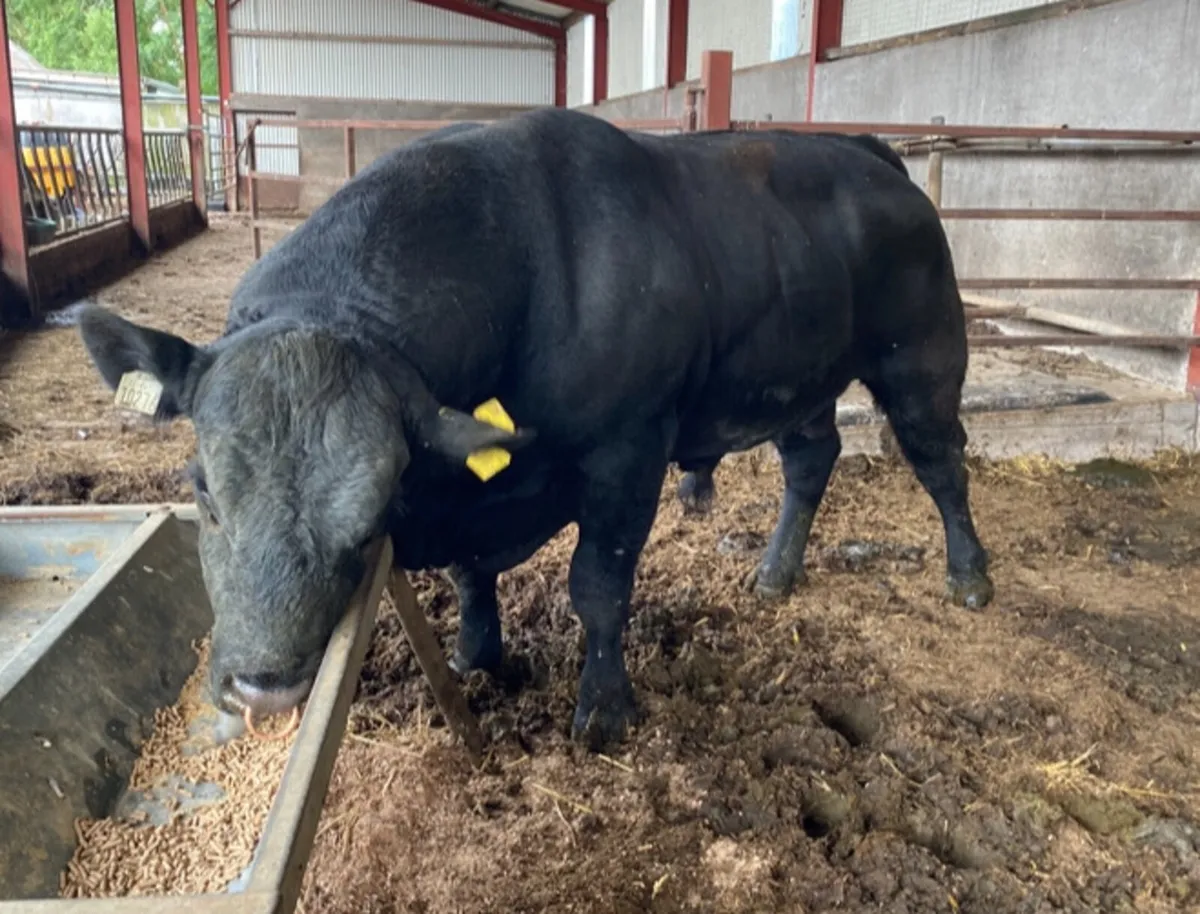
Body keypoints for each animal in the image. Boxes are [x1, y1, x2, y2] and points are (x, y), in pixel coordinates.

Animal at [78, 107, 993, 751]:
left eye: (371, 516)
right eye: (203, 492)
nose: (261, 689)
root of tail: (864, 150)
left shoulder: (629, 453)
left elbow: (598, 586)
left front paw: (604, 711)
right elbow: (468, 577)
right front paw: (474, 655)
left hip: (922, 358)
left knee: (941, 462)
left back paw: (970, 575)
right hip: (798, 378)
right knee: (813, 458)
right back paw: (774, 572)